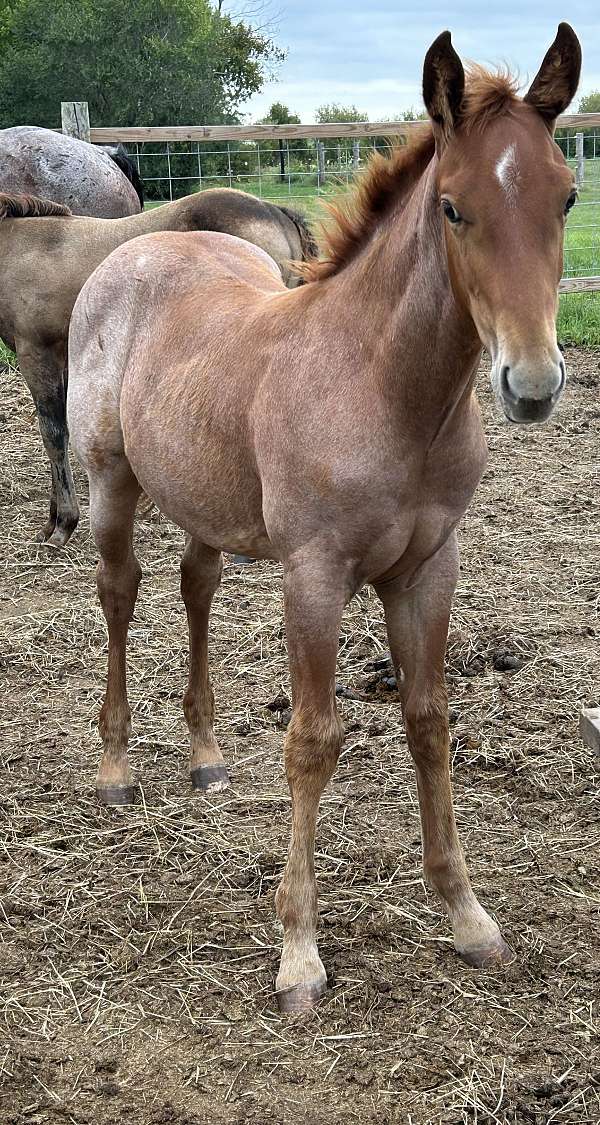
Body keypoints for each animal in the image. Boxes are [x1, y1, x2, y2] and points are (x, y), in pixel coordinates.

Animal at [66, 25, 581, 1012]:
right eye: (453, 208)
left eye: (567, 196)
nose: (531, 385)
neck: (383, 389)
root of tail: (127, 257)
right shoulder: (315, 573)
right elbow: (313, 740)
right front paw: (298, 952)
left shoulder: (428, 567)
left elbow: (429, 721)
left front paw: (468, 917)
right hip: (111, 481)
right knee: (119, 594)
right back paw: (114, 769)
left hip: (207, 497)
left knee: (195, 587)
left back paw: (206, 754)